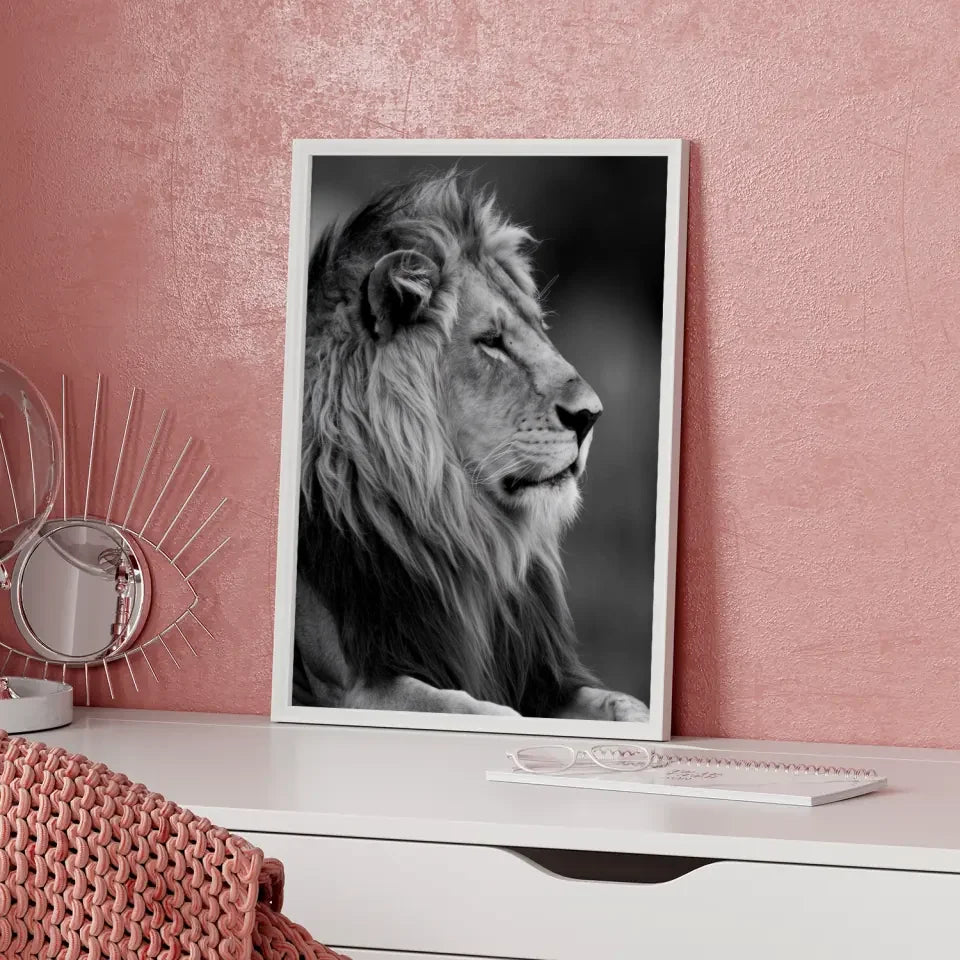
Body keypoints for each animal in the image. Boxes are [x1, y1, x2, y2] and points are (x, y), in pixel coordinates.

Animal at [293, 170, 649, 722]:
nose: (590, 416)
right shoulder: (354, 686)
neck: (460, 529)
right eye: (491, 342)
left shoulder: (539, 679)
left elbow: (627, 705)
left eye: (538, 329)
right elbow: (479, 712)